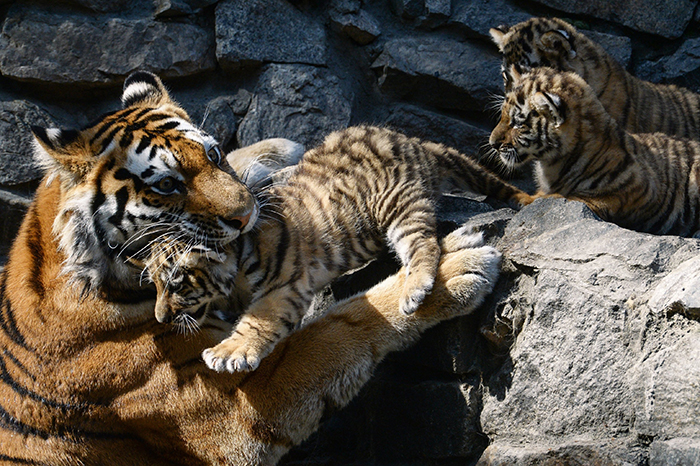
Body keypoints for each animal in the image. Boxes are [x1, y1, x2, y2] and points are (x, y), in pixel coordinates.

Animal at [0, 71, 504, 464]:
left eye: (212, 155)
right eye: (166, 185)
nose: (246, 217)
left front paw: (278, 150)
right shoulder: (234, 408)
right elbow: (340, 327)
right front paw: (456, 267)